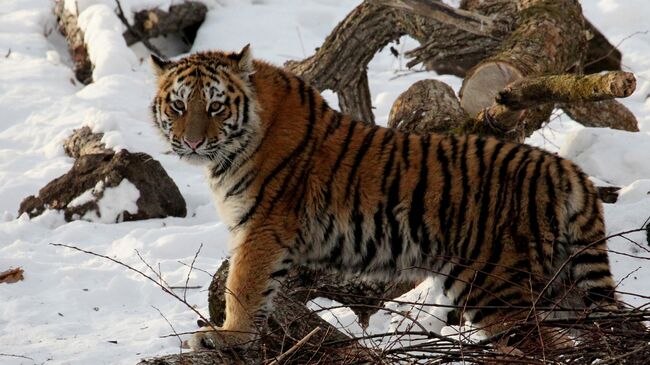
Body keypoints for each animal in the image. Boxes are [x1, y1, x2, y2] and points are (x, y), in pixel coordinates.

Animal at [149, 44, 620, 350]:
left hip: (497, 285)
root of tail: (566, 170)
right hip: (561, 283)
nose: (191, 142)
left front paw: (226, 336)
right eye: (178, 106)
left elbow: (242, 286)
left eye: (215, 107)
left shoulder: (261, 228)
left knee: (545, 347)